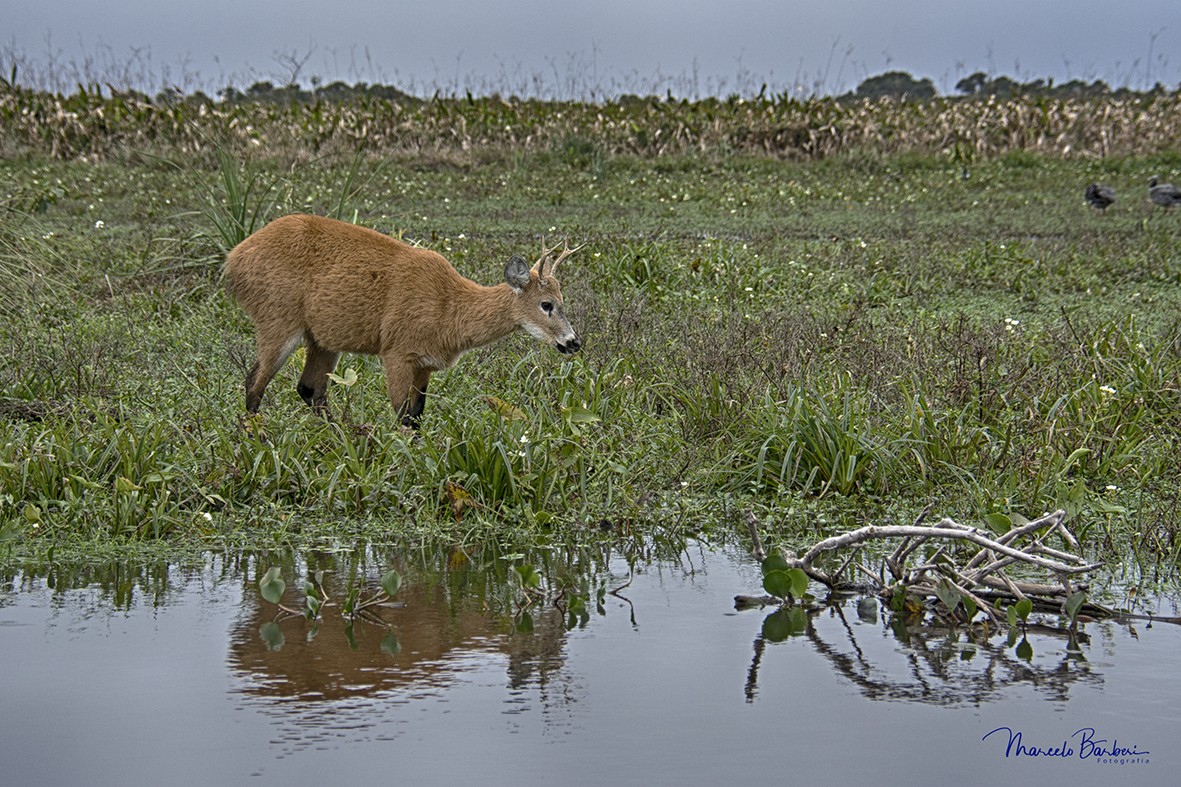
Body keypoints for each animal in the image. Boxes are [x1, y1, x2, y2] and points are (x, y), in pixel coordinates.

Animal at [223, 211, 578, 425]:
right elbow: (403, 416)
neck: (449, 310)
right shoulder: (396, 351)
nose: (573, 342)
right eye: (546, 304)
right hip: (278, 320)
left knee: (310, 389)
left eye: (563, 300)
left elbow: (417, 414)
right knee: (255, 381)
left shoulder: (424, 363)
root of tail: (233, 260)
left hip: (322, 338)